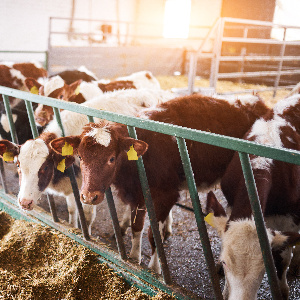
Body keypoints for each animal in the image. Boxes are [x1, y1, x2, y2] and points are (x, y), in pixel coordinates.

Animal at [0, 88, 176, 236]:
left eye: (45, 167)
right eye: (18, 165)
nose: (24, 202)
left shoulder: (89, 189)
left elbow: (87, 216)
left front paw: (88, 235)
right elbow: (72, 212)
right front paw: (73, 228)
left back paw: (166, 227)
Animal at [48, 94, 270, 274]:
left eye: (111, 158)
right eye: (81, 157)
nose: (88, 196)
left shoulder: (165, 194)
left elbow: (152, 236)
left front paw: (154, 268)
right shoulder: (137, 194)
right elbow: (137, 228)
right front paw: (134, 258)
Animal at [205, 94, 300, 300]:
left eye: (264, 270)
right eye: (224, 262)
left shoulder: (290, 216)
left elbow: (283, 258)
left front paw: (282, 290)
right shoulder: (231, 204)